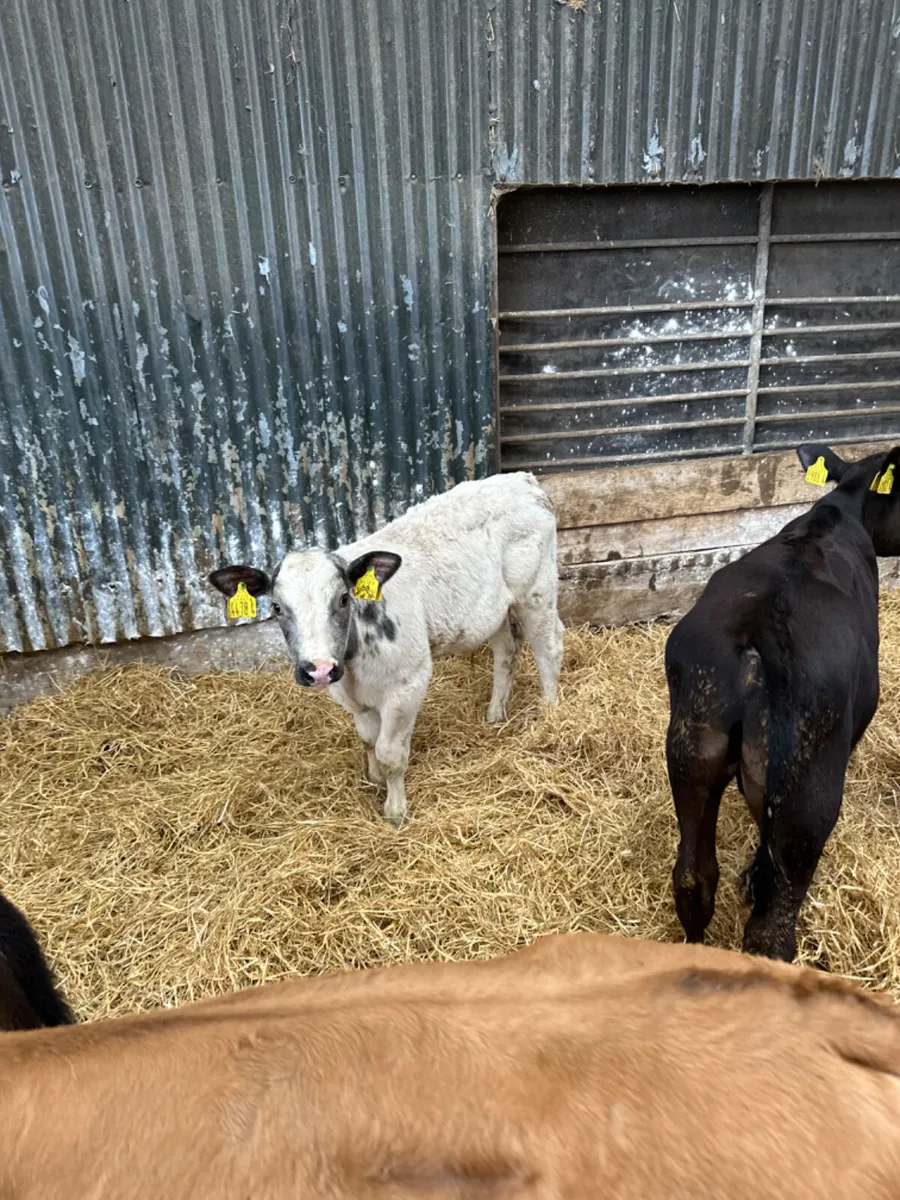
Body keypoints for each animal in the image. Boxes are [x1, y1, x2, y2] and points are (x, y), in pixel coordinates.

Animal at [209, 472, 564, 825]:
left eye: (343, 598)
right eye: (277, 607)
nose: (319, 670)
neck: (354, 664)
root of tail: (522, 480)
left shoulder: (407, 684)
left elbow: (390, 752)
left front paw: (395, 811)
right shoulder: (350, 695)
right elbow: (368, 740)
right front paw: (375, 779)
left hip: (537, 592)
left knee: (549, 647)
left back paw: (548, 715)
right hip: (495, 610)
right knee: (506, 651)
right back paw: (494, 715)